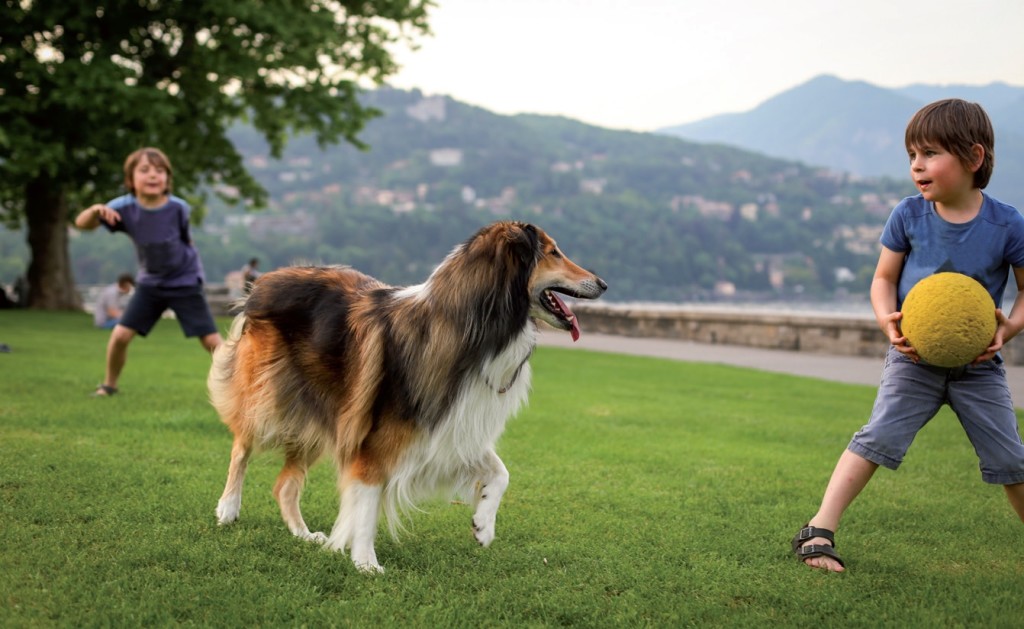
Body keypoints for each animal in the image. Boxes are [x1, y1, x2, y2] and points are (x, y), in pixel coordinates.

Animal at [208, 222, 606, 573]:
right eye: (553, 252)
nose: (603, 283)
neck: (473, 327)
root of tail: (265, 280)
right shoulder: (373, 442)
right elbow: (367, 504)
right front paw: (366, 563)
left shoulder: (448, 427)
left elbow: (501, 471)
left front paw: (483, 525)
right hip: (270, 401)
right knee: (241, 447)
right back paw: (228, 508)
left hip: (321, 417)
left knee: (284, 486)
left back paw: (304, 535)